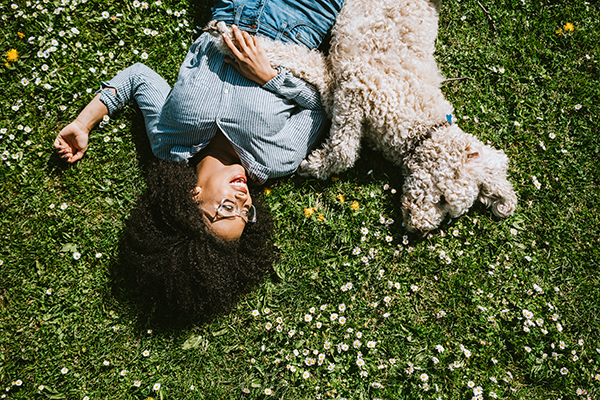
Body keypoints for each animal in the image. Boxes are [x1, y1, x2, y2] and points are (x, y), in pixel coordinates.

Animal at [205, 0, 516, 233]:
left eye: (449, 212)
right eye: (440, 199)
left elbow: (309, 66)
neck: (421, 126)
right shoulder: (358, 86)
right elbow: (345, 150)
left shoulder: (338, 83)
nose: (418, 229)